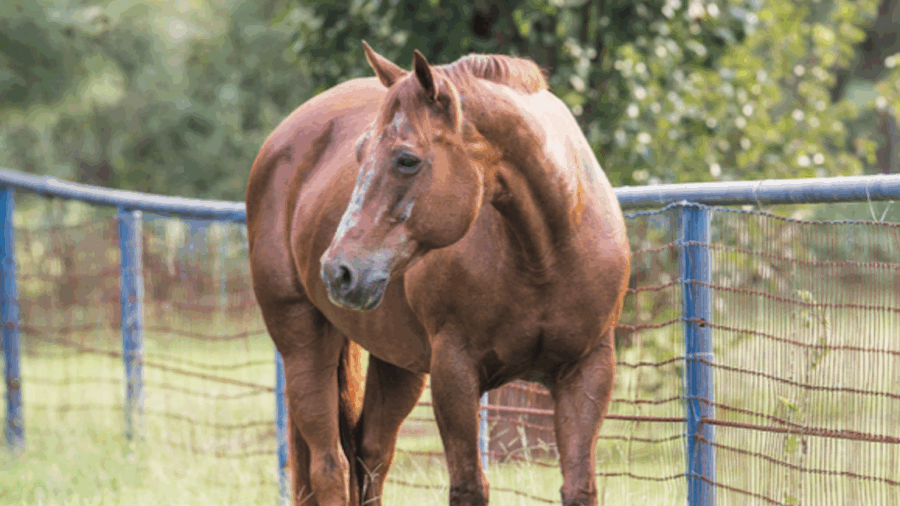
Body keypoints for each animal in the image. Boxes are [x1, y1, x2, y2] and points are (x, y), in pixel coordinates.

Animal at [246, 42, 630, 506]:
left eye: (407, 160)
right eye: (359, 153)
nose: (338, 271)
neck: (546, 254)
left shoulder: (587, 371)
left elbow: (579, 487)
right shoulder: (454, 374)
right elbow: (468, 487)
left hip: (399, 363)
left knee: (372, 455)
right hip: (302, 339)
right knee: (330, 466)